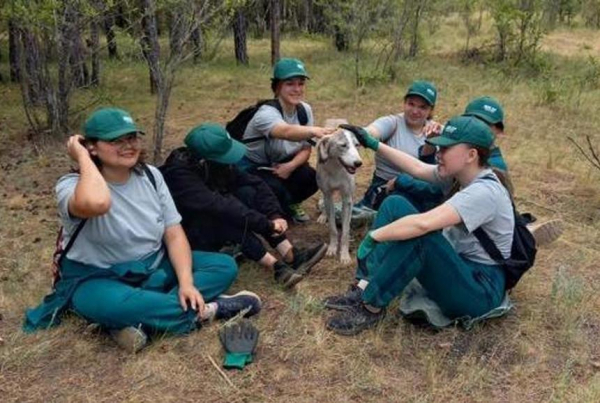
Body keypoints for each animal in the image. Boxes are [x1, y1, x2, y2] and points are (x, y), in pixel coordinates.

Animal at [316, 127, 364, 266]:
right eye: (343, 145)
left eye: (357, 145)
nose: (358, 163)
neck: (336, 168)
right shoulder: (328, 196)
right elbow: (333, 228)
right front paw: (332, 248)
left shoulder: (347, 199)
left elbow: (345, 231)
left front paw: (344, 255)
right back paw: (323, 216)